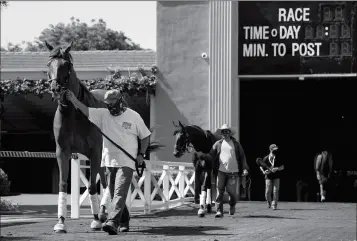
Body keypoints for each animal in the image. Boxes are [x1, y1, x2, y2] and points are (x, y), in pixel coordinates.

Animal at [45, 42, 108, 233]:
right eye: (48, 64)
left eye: (67, 65)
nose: (56, 89)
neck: (74, 113)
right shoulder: (63, 152)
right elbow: (63, 184)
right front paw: (60, 222)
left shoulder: (94, 153)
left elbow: (92, 186)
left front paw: (95, 220)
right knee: (105, 181)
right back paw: (103, 213)